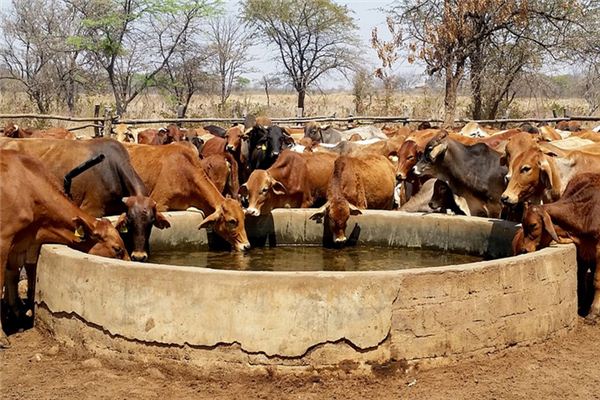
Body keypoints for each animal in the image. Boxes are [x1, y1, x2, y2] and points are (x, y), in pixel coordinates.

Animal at [510, 172, 600, 318]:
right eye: (522, 224)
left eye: (533, 225)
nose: (524, 249)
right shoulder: (582, 250)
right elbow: (580, 275)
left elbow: (597, 280)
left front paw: (594, 311)